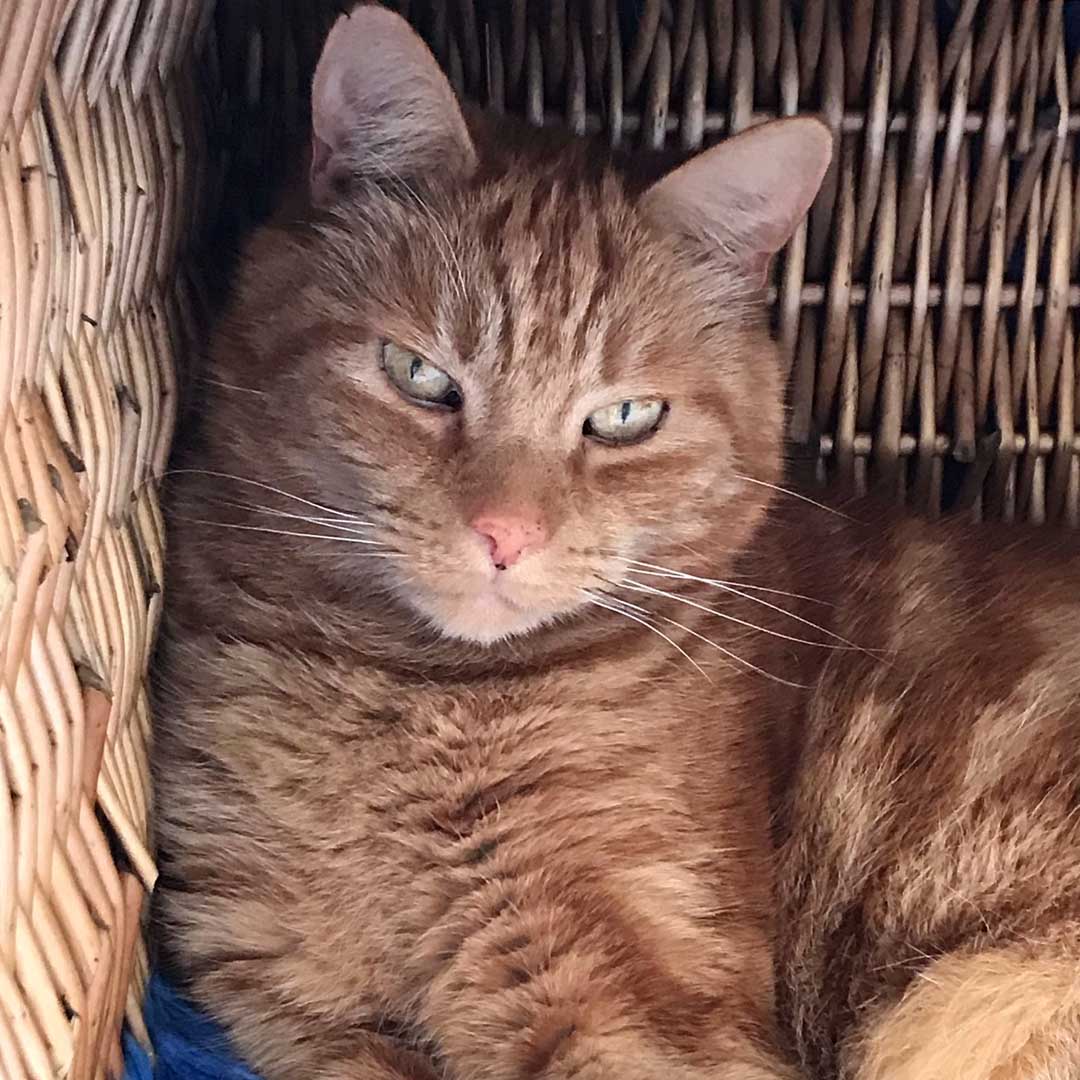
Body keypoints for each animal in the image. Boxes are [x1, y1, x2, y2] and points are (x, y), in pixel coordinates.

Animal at [152, 2, 1080, 1080]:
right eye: (419, 376)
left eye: (626, 418)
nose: (504, 533)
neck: (410, 706)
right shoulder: (291, 1002)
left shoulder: (635, 1009)